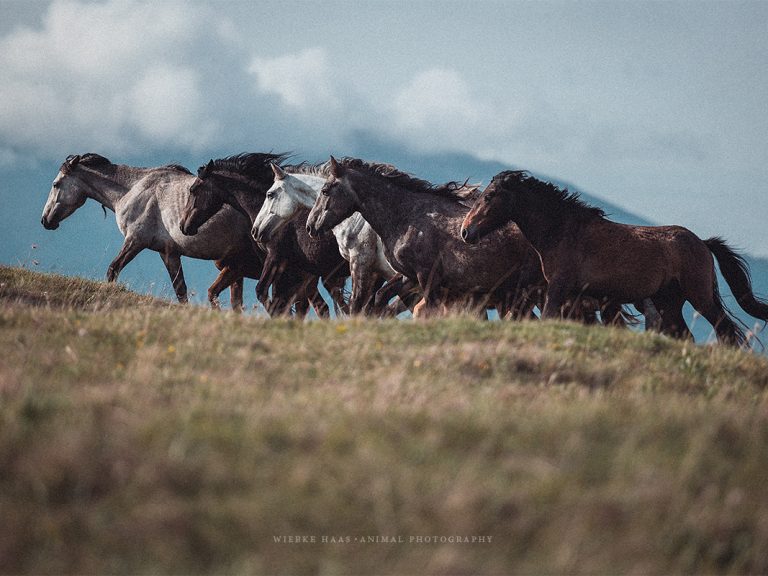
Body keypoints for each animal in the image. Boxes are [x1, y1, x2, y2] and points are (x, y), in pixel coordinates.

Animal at [41, 154, 260, 309]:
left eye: (55, 184)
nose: (45, 220)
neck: (133, 190)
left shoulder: (135, 241)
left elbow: (113, 269)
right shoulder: (168, 252)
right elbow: (180, 290)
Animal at [306, 157, 546, 318]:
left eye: (325, 190)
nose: (310, 226)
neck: (406, 216)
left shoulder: (426, 276)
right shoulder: (409, 276)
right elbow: (380, 299)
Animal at [460, 170, 768, 346]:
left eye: (490, 195)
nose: (466, 231)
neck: (562, 230)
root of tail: (702, 243)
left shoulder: (558, 288)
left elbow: (548, 318)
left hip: (699, 296)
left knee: (725, 331)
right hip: (668, 301)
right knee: (685, 335)